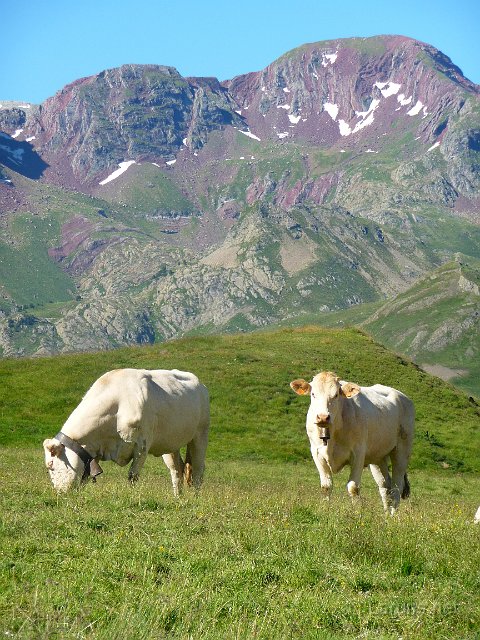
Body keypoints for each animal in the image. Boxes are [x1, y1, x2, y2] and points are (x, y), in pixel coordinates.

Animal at [43, 368, 210, 496]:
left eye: (51, 465)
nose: (60, 493)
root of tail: (200, 384)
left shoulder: (142, 445)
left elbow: (132, 476)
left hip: (200, 434)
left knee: (197, 470)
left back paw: (195, 498)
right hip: (170, 444)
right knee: (177, 470)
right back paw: (177, 497)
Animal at [290, 371, 415, 514]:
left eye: (336, 395)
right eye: (313, 394)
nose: (323, 417)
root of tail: (404, 397)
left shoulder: (358, 454)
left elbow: (353, 487)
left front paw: (357, 513)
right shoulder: (317, 453)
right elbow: (326, 486)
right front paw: (324, 510)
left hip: (402, 450)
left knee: (397, 486)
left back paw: (393, 515)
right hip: (378, 457)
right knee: (385, 485)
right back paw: (386, 516)